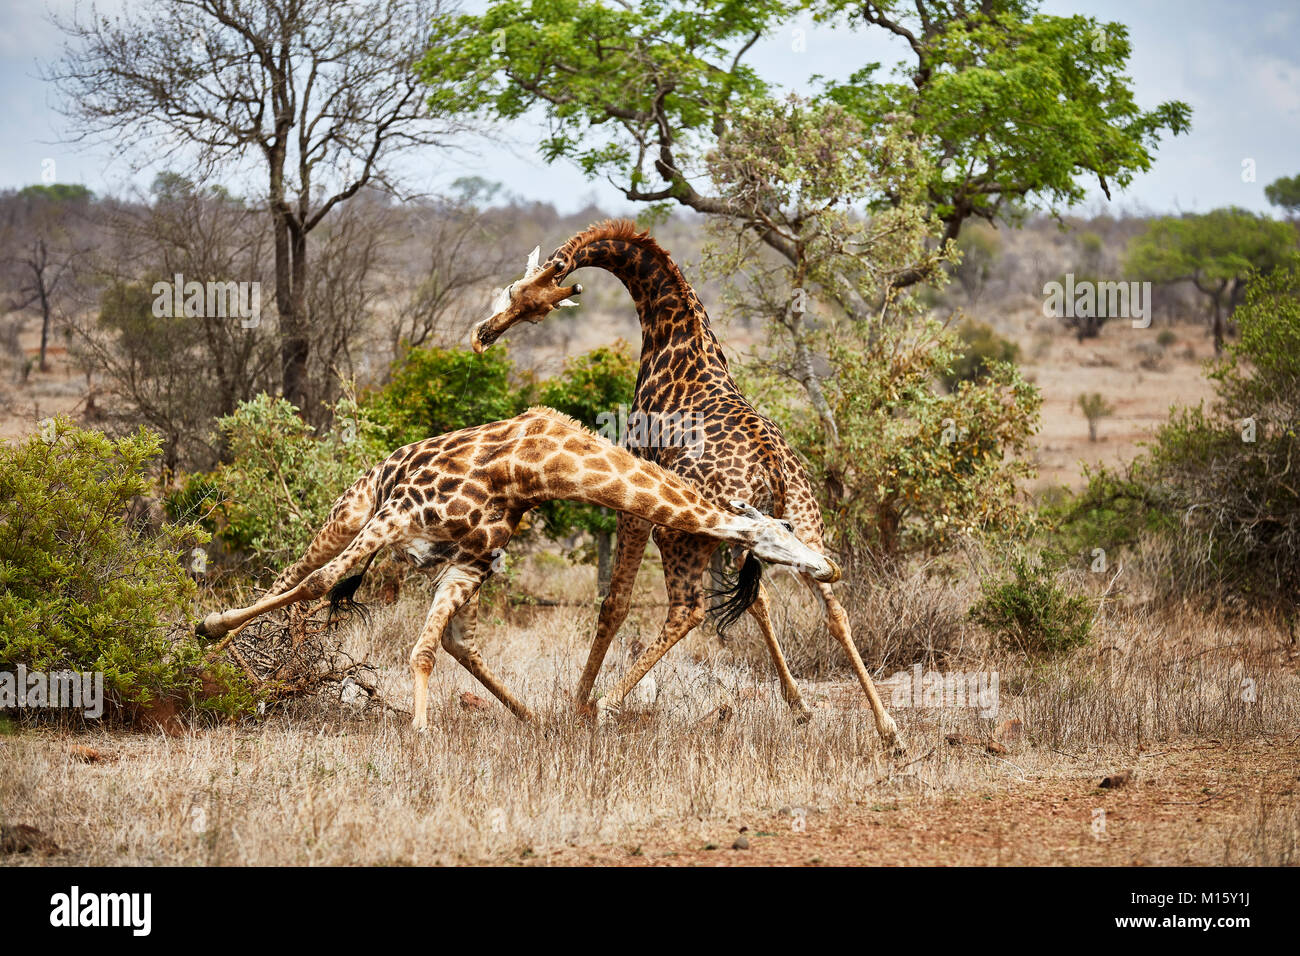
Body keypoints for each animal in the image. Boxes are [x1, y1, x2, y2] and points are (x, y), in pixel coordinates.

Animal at [196, 405, 837, 733]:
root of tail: (386, 457)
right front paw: (212, 636)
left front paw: (421, 733)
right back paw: (227, 657)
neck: (531, 468)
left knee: (452, 640)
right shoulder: (398, 514)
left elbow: (427, 648)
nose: (827, 567)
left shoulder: (471, 558)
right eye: (783, 531)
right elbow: (319, 583)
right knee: (294, 574)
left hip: (437, 554)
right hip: (353, 510)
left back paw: (528, 716)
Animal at [467, 221, 904, 759]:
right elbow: (757, 601)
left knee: (688, 609)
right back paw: (889, 730)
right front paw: (799, 707)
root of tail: (775, 468)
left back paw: (608, 703)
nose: (484, 334)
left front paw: (578, 702)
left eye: (518, 294)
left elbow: (614, 603)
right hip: (800, 525)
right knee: (832, 606)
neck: (675, 335)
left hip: (683, 533)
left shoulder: (635, 501)